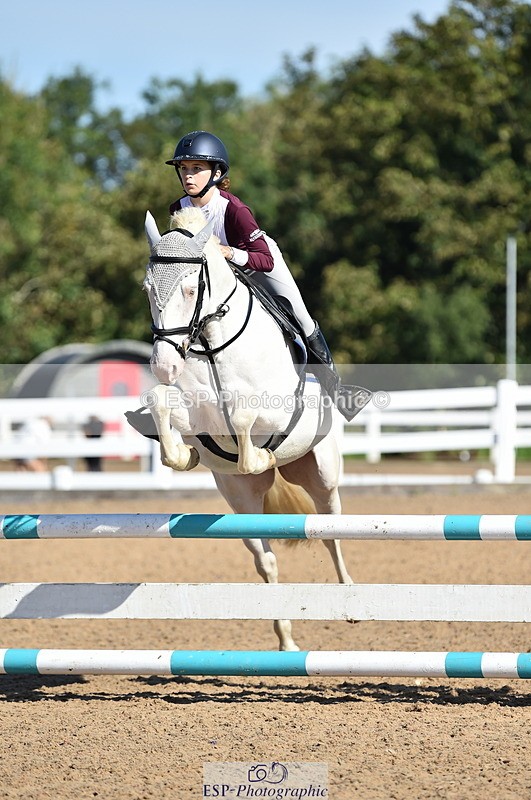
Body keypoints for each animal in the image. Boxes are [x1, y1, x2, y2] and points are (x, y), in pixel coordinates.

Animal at [140, 206, 357, 651]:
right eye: (147, 290)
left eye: (191, 289)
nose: (164, 366)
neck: (210, 343)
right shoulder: (198, 417)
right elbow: (161, 403)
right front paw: (184, 456)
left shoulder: (281, 410)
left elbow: (243, 414)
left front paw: (258, 454)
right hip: (241, 500)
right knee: (266, 559)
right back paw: (286, 641)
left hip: (322, 475)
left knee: (330, 530)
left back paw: (348, 601)